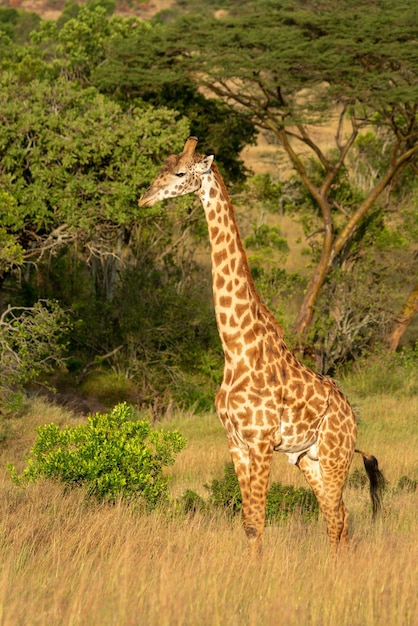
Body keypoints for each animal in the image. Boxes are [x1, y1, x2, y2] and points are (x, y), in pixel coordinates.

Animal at [140, 136, 386, 556]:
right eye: (161, 166)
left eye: (179, 172)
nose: (144, 198)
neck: (236, 348)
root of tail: (352, 416)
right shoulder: (236, 443)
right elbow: (247, 523)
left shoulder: (259, 443)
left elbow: (258, 522)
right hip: (308, 459)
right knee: (337, 516)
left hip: (336, 454)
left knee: (339, 517)